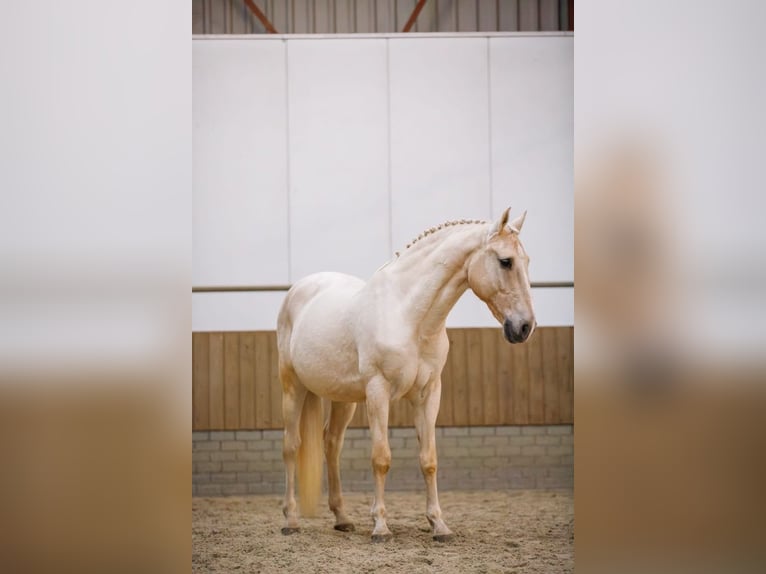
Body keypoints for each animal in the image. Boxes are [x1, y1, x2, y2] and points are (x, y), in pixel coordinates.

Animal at [280, 208, 536, 544]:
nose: (524, 327)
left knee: (331, 444)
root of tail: (297, 290)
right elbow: (381, 457)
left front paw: (438, 525)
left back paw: (342, 518)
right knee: (291, 445)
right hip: (292, 387)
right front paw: (380, 526)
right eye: (506, 261)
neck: (408, 315)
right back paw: (291, 519)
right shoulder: (378, 391)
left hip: (343, 399)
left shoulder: (428, 393)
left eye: (527, 261)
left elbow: (429, 460)